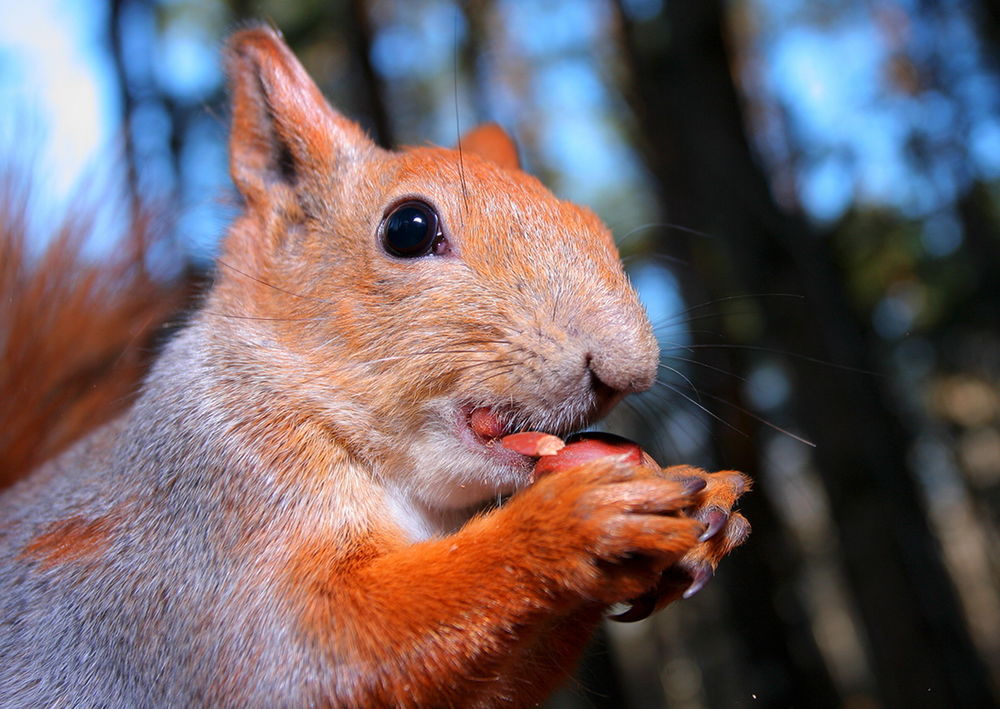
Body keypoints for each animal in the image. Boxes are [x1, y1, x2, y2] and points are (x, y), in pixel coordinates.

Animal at [0, 24, 752, 704]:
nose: (630, 368)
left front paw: (707, 499)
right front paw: (571, 521)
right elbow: (312, 647)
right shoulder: (201, 541)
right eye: (409, 229)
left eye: (592, 224)